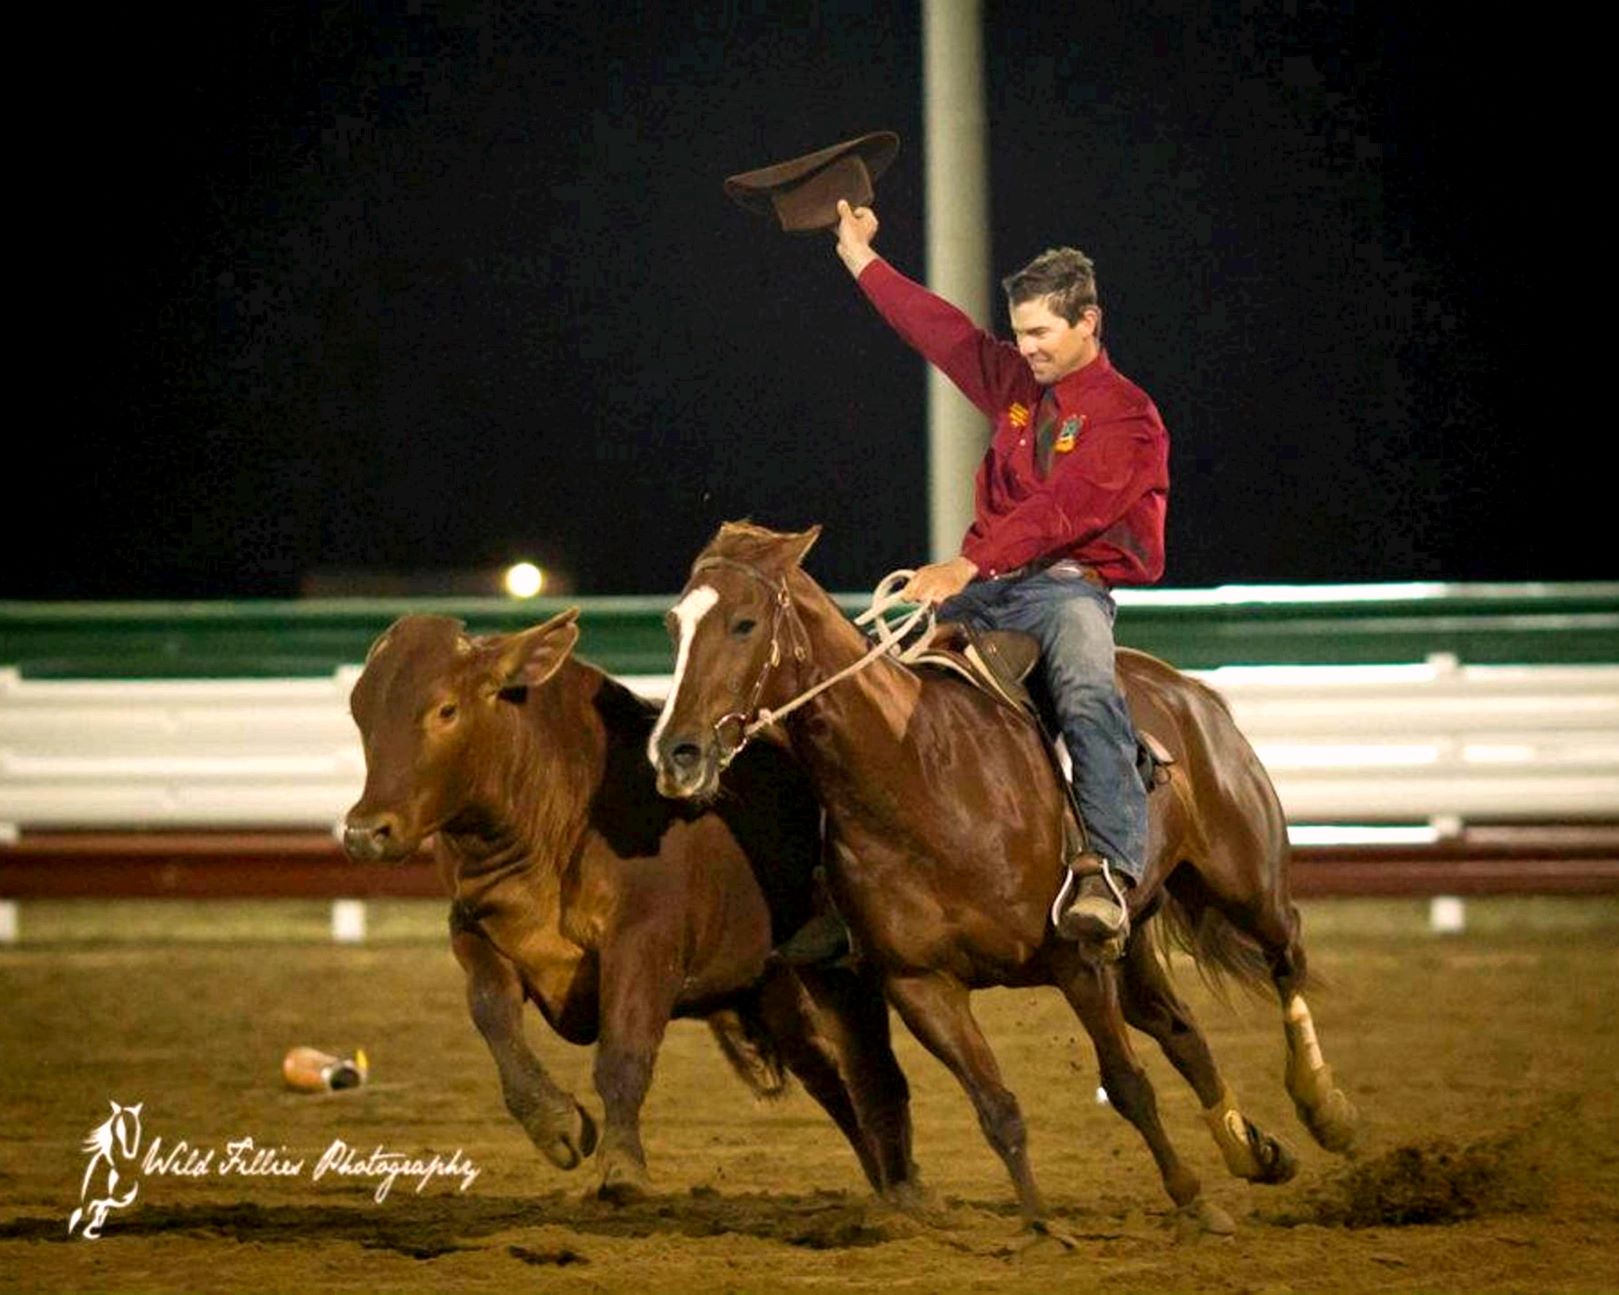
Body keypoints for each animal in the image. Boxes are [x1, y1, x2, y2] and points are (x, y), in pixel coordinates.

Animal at [342, 610, 918, 1202]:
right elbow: (492, 1015)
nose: (366, 832)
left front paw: (622, 1169)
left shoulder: (643, 942)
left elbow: (623, 1053)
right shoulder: (475, 931)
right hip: (774, 989)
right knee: (823, 1071)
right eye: (360, 711)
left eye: (446, 708)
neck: (555, 815)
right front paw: (555, 1123)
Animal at [649, 521, 1358, 1239]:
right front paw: (1043, 1224)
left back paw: (1324, 1108)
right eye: (674, 624)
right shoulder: (921, 984)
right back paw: (1251, 1148)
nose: (677, 752)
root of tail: (1192, 695)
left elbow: (1127, 1084)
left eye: (744, 623)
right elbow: (997, 1107)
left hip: (1242, 883)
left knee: (1287, 956)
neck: (920, 771)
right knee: (1180, 1027)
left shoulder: (1076, 961)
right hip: (1130, 938)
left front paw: (1191, 1194)